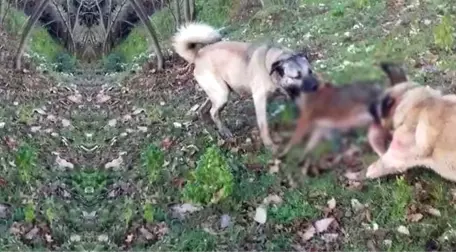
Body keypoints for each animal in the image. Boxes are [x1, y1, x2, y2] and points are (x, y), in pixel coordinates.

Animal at [171, 21, 314, 151]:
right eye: (296, 76)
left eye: (310, 71)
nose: (315, 85)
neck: (269, 64)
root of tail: (198, 55)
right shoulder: (260, 100)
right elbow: (264, 126)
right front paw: (270, 145)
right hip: (222, 94)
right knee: (213, 111)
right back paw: (224, 131)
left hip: (219, 91)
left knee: (205, 108)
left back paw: (209, 125)